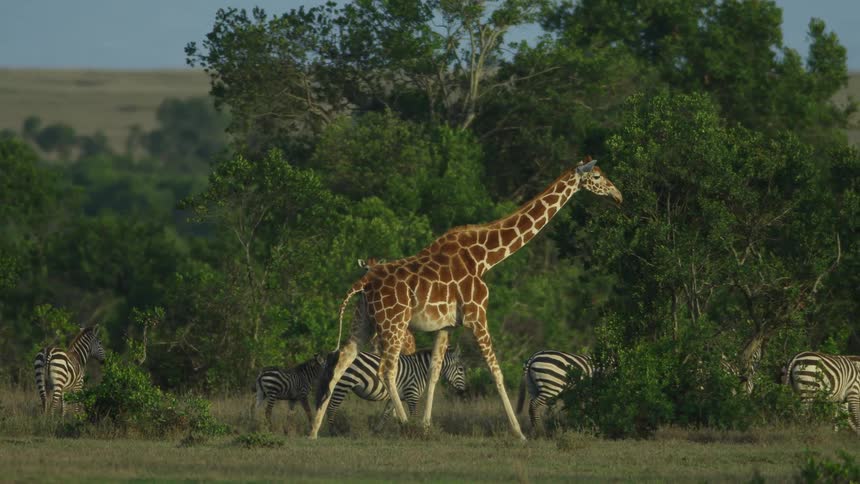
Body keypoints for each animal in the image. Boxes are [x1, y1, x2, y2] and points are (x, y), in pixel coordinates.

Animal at [322, 347, 466, 429]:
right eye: (461, 369)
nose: (463, 392)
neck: (421, 370)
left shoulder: (396, 396)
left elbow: (386, 413)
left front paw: (377, 431)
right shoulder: (412, 393)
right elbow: (413, 415)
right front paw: (414, 431)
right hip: (344, 383)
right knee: (332, 407)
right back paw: (333, 431)